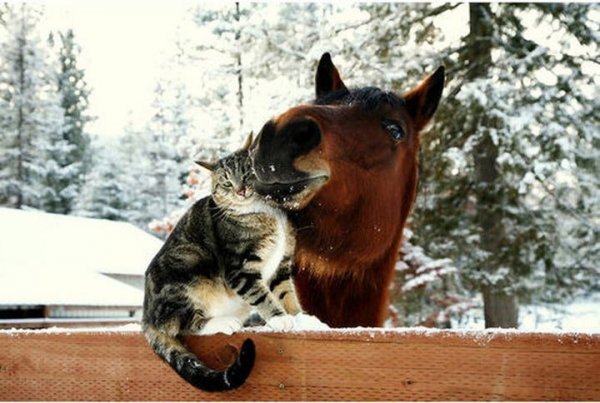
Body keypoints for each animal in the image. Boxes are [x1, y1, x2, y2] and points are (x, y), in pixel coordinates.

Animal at [142, 134, 302, 392]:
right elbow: (263, 295)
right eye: (226, 182)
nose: (240, 190)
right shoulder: (239, 269)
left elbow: (287, 294)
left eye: (247, 173)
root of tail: (146, 317)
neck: (264, 212)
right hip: (188, 270)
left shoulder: (282, 265)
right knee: (184, 325)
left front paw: (303, 319)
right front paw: (279, 319)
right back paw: (224, 323)